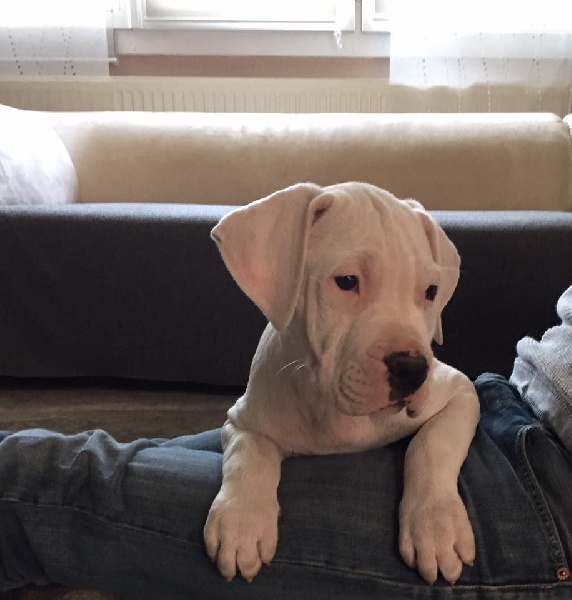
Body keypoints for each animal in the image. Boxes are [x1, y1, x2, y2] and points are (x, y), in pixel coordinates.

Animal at [204, 182, 480, 586]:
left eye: (431, 291)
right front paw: (241, 522)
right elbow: (247, 456)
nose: (413, 369)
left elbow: (432, 445)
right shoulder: (243, 420)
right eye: (347, 282)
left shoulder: (460, 390)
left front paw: (437, 525)